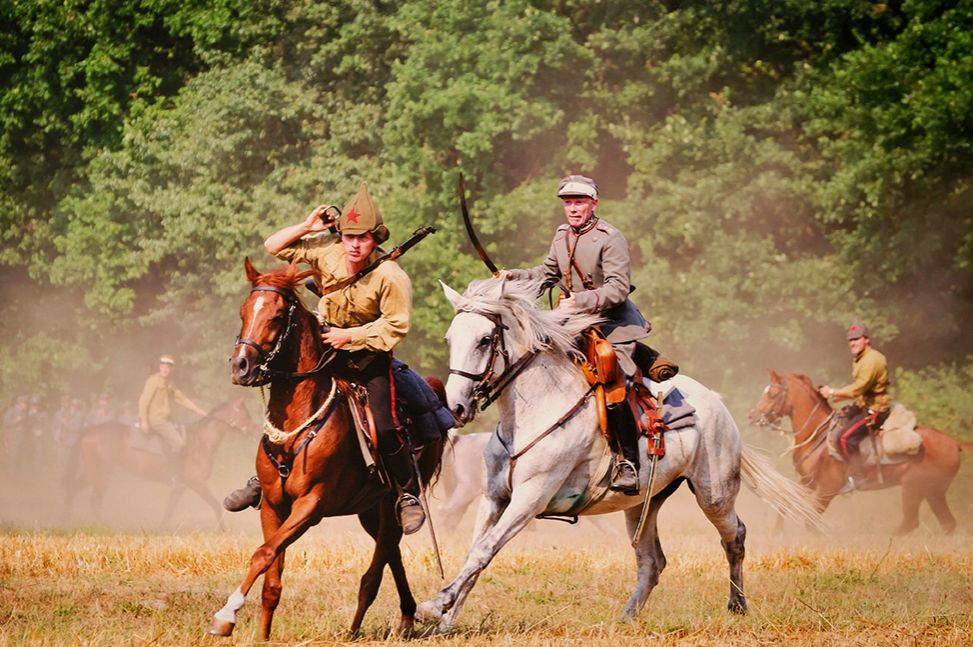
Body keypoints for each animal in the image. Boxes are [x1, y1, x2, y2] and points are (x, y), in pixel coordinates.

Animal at [59, 400, 251, 532]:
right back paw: (101, 525)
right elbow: (216, 504)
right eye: (245, 414)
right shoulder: (197, 483)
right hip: (101, 473)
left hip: (92, 472)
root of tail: (89, 431)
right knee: (93, 499)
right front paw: (224, 530)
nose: (252, 427)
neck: (200, 441)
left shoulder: (180, 487)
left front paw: (160, 529)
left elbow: (169, 509)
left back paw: (67, 519)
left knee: (73, 489)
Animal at [211, 260, 446, 640]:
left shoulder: (311, 505)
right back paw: (405, 616)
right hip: (371, 510)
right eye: (244, 311)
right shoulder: (274, 506)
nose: (240, 366)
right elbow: (271, 575)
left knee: (381, 558)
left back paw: (360, 625)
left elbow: (262, 554)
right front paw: (261, 635)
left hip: (392, 502)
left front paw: (225, 615)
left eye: (277, 316)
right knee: (391, 552)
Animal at [418, 278, 820, 632]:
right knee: (652, 562)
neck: (534, 412)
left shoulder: (529, 499)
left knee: (734, 537)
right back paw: (627, 617)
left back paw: (737, 605)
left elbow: (484, 550)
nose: (456, 407)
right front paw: (447, 618)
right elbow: (475, 552)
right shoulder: (494, 497)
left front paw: (435, 606)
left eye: (485, 339)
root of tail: (715, 401)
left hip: (714, 494)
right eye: (451, 339)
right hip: (643, 504)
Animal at [748, 372, 968, 536]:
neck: (818, 436)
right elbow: (785, 502)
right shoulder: (807, 482)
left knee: (911, 521)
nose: (752, 417)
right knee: (947, 523)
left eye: (772, 394)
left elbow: (811, 521)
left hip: (913, 489)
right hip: (933, 492)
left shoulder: (827, 489)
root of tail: (954, 443)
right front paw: (778, 533)